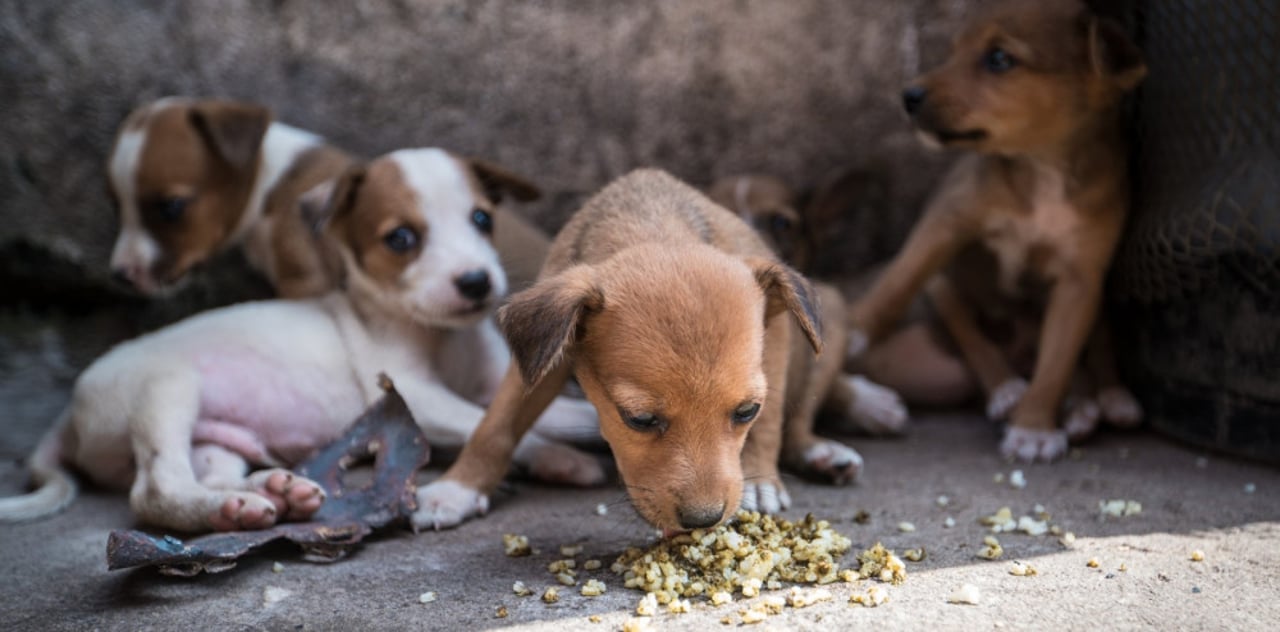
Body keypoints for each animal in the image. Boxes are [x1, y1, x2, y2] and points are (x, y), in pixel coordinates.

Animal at [0, 148, 604, 532]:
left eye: (482, 219)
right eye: (401, 238)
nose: (476, 282)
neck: (440, 335)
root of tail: (69, 412)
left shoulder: (488, 383)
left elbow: (528, 415)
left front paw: (565, 450)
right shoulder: (416, 397)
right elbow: (491, 422)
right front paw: (567, 447)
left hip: (215, 441)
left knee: (201, 474)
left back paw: (269, 495)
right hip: (165, 391)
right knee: (155, 489)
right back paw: (236, 507)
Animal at [849, 1, 1152, 463]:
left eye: (998, 59)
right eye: (953, 50)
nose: (908, 97)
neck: (1043, 167)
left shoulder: (1080, 279)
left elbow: (1058, 360)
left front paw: (1034, 427)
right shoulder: (946, 221)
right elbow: (900, 277)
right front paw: (853, 328)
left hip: (1093, 298)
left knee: (1087, 348)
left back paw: (1101, 400)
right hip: (944, 284)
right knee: (970, 332)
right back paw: (1007, 390)